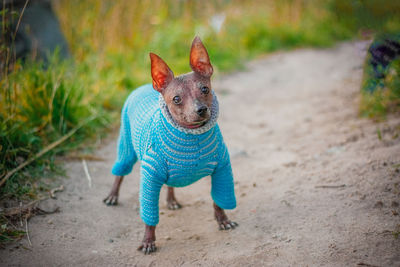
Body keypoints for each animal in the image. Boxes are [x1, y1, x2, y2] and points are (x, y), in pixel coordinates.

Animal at [104, 36, 239, 254]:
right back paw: (112, 196)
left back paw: (171, 200)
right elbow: (149, 217)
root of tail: (142, 86)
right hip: (126, 147)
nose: (201, 109)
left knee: (170, 183)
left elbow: (219, 201)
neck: (191, 136)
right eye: (176, 99)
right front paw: (148, 240)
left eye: (205, 89)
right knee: (120, 172)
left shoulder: (222, 170)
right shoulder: (150, 178)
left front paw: (223, 220)